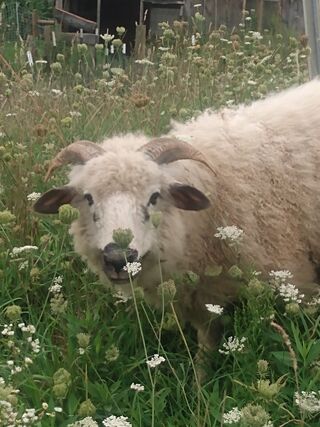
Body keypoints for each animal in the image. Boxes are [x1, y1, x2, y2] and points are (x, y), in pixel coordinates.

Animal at [33, 80, 320, 354]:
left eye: (154, 196)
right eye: (89, 197)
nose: (118, 259)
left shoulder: (297, 282)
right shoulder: (203, 298)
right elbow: (206, 345)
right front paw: (201, 373)